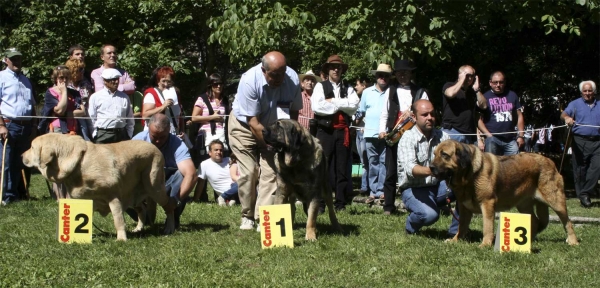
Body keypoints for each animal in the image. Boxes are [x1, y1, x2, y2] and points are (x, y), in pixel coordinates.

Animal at [23, 133, 178, 241]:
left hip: (154, 187)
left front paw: (121, 239)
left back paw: (169, 228)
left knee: (170, 205)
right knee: (142, 209)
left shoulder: (113, 197)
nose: (21, 155)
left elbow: (118, 219)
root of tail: (155, 147)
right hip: (132, 195)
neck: (79, 165)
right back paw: (138, 229)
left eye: (31, 147)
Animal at [428, 140, 580, 248]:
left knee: (568, 222)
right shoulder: (464, 207)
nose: (430, 167)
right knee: (535, 221)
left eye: (445, 155)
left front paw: (485, 244)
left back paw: (573, 241)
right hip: (524, 205)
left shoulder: (487, 203)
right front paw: (455, 240)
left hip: (556, 201)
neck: (469, 175)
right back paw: (527, 241)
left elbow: (487, 227)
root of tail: (550, 161)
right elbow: (461, 227)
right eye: (434, 154)